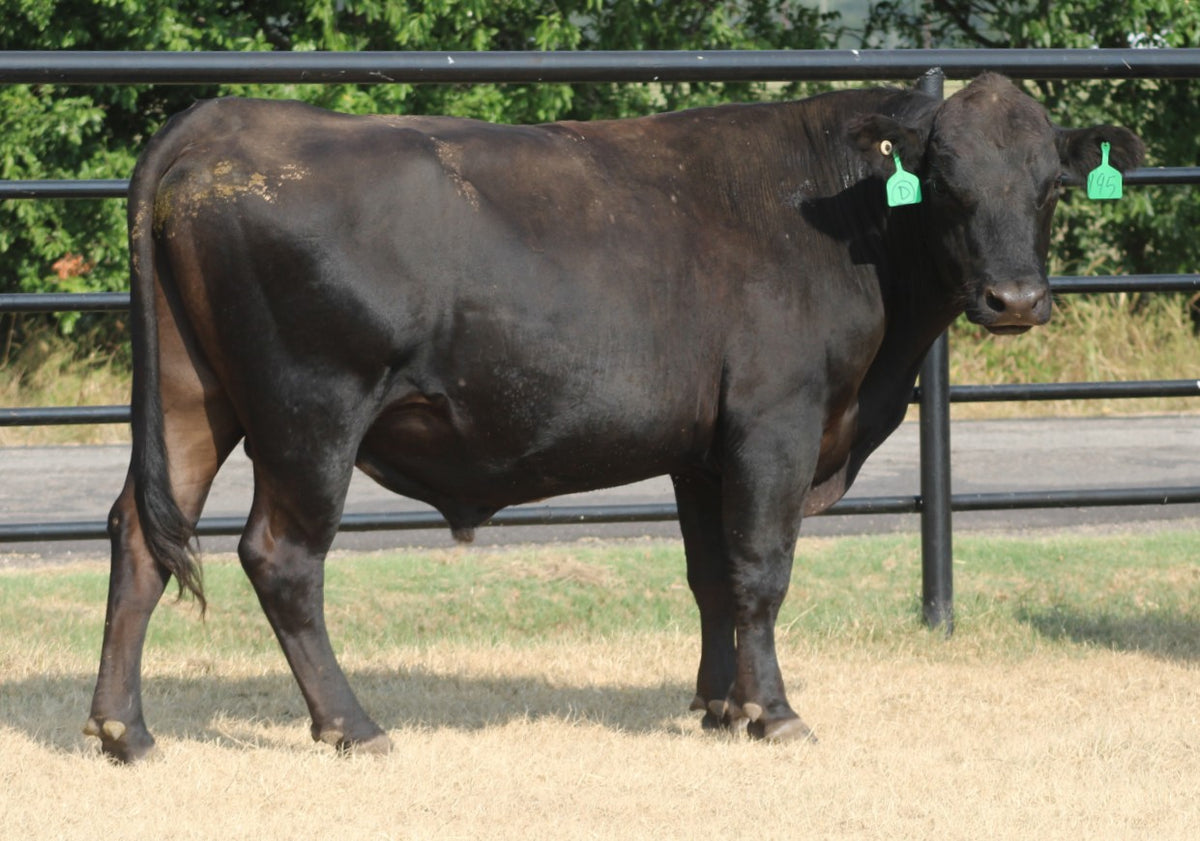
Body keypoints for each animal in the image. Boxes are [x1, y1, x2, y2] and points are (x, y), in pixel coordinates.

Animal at [84, 73, 1142, 762]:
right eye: (950, 183)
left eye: (1050, 186)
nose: (1015, 299)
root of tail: (224, 123)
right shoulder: (776, 423)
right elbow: (761, 572)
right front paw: (775, 712)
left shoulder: (704, 450)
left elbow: (711, 576)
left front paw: (719, 706)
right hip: (311, 412)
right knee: (281, 558)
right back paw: (353, 724)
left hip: (193, 399)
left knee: (139, 535)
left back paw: (123, 730)